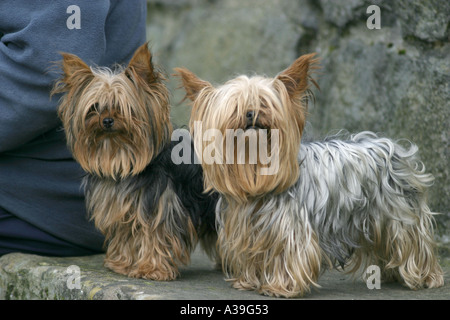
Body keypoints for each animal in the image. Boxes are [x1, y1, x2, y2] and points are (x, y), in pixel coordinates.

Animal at [52, 43, 218, 280]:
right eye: (94, 107)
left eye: (124, 108)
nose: (107, 120)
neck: (120, 156)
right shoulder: (121, 206)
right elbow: (126, 235)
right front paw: (122, 263)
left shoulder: (160, 205)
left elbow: (155, 235)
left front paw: (152, 269)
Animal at [175, 55, 442, 298]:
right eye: (236, 106)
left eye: (264, 103)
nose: (251, 113)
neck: (255, 170)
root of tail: (390, 146)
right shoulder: (246, 227)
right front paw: (248, 281)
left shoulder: (291, 229)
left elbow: (290, 254)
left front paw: (280, 287)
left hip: (399, 215)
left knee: (413, 242)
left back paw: (425, 276)